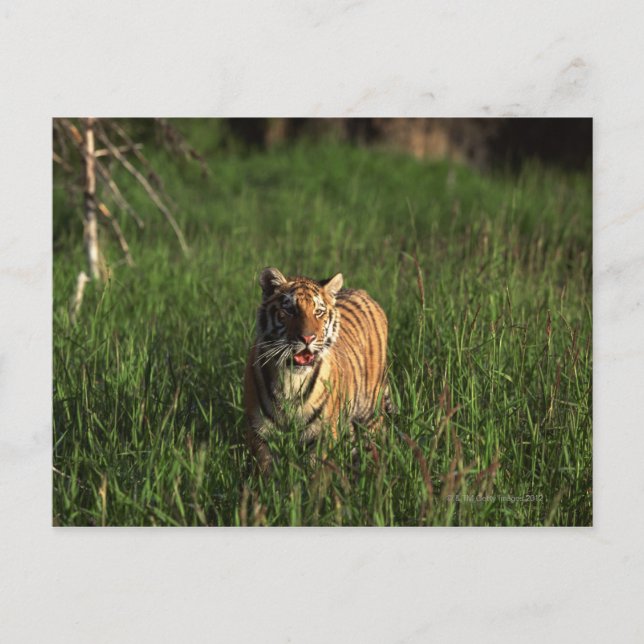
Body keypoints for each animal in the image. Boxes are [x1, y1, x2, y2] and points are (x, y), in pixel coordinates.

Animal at [244, 266, 392, 473]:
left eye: (319, 312)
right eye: (289, 310)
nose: (308, 338)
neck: (291, 379)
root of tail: (363, 292)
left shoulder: (322, 434)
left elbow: (316, 473)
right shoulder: (260, 433)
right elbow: (267, 473)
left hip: (370, 412)